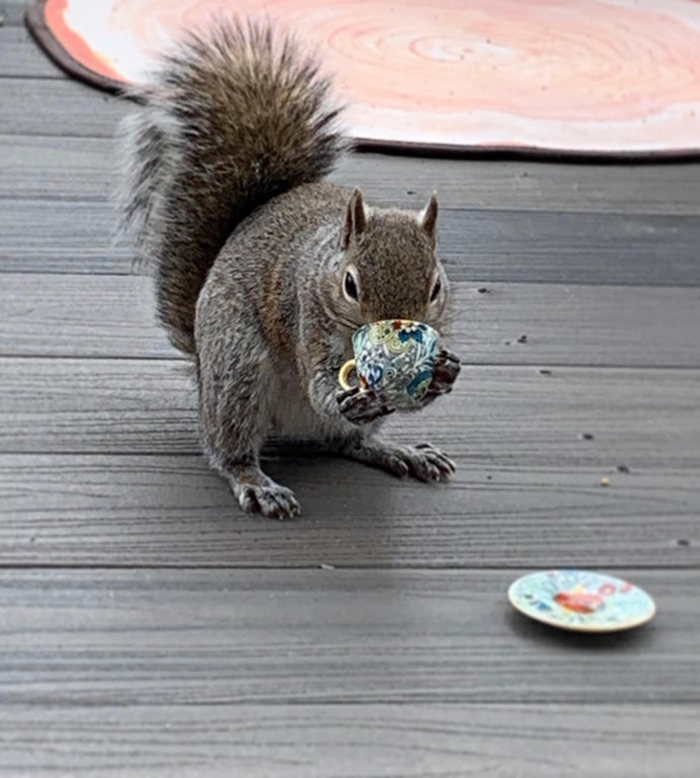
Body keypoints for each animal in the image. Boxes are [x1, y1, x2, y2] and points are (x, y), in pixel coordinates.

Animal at [118, 18, 462, 520]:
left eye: (436, 286)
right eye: (350, 284)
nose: (399, 330)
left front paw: (445, 371)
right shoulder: (304, 316)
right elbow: (320, 385)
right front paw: (344, 394)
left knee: (345, 443)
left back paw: (396, 451)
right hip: (236, 368)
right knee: (230, 447)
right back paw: (256, 482)